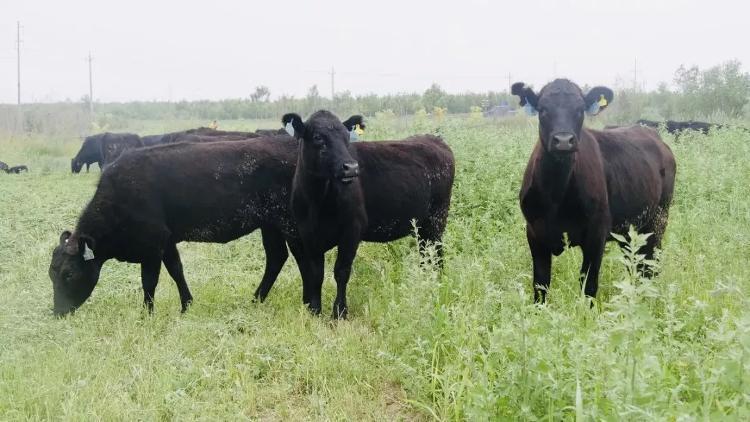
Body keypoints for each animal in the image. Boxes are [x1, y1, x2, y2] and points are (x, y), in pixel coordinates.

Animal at [284, 110, 456, 318]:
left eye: (347, 136)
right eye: (318, 137)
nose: (351, 167)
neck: (317, 201)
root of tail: (434, 140)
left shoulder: (352, 230)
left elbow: (341, 271)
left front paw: (339, 312)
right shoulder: (308, 234)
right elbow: (316, 274)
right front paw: (315, 311)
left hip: (437, 218)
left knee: (437, 253)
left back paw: (437, 283)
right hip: (422, 225)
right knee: (425, 254)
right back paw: (425, 282)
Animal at [516, 79, 680, 304]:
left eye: (580, 110)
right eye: (543, 109)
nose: (564, 140)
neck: (556, 195)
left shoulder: (596, 233)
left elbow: (589, 285)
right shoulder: (534, 233)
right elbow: (540, 286)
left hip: (659, 219)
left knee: (650, 263)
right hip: (629, 229)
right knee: (635, 263)